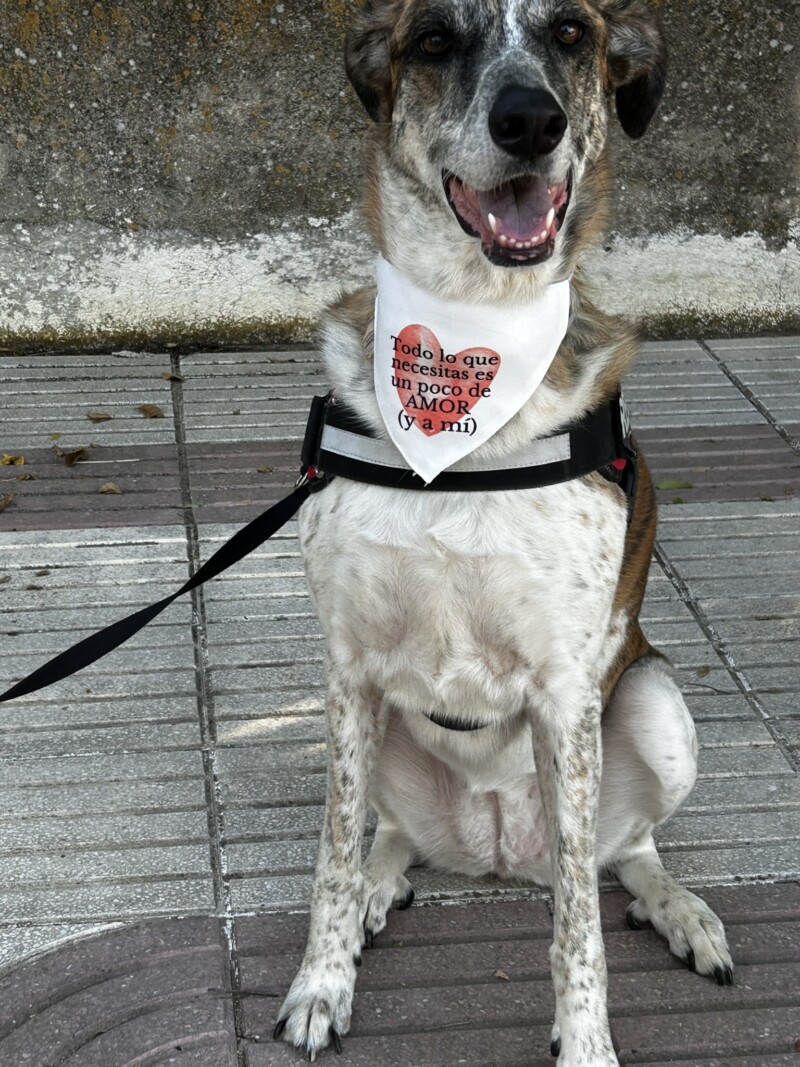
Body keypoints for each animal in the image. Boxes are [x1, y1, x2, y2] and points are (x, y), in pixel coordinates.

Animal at [275, 4, 733, 1062]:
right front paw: (323, 982)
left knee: (617, 852)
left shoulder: (567, 693)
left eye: (570, 33)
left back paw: (681, 909)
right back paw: (381, 886)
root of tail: (492, 855)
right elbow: (329, 853)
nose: (531, 121)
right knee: (387, 835)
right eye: (435, 40)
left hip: (655, 705)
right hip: (377, 734)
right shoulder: (347, 668)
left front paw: (588, 1040)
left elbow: (578, 925)